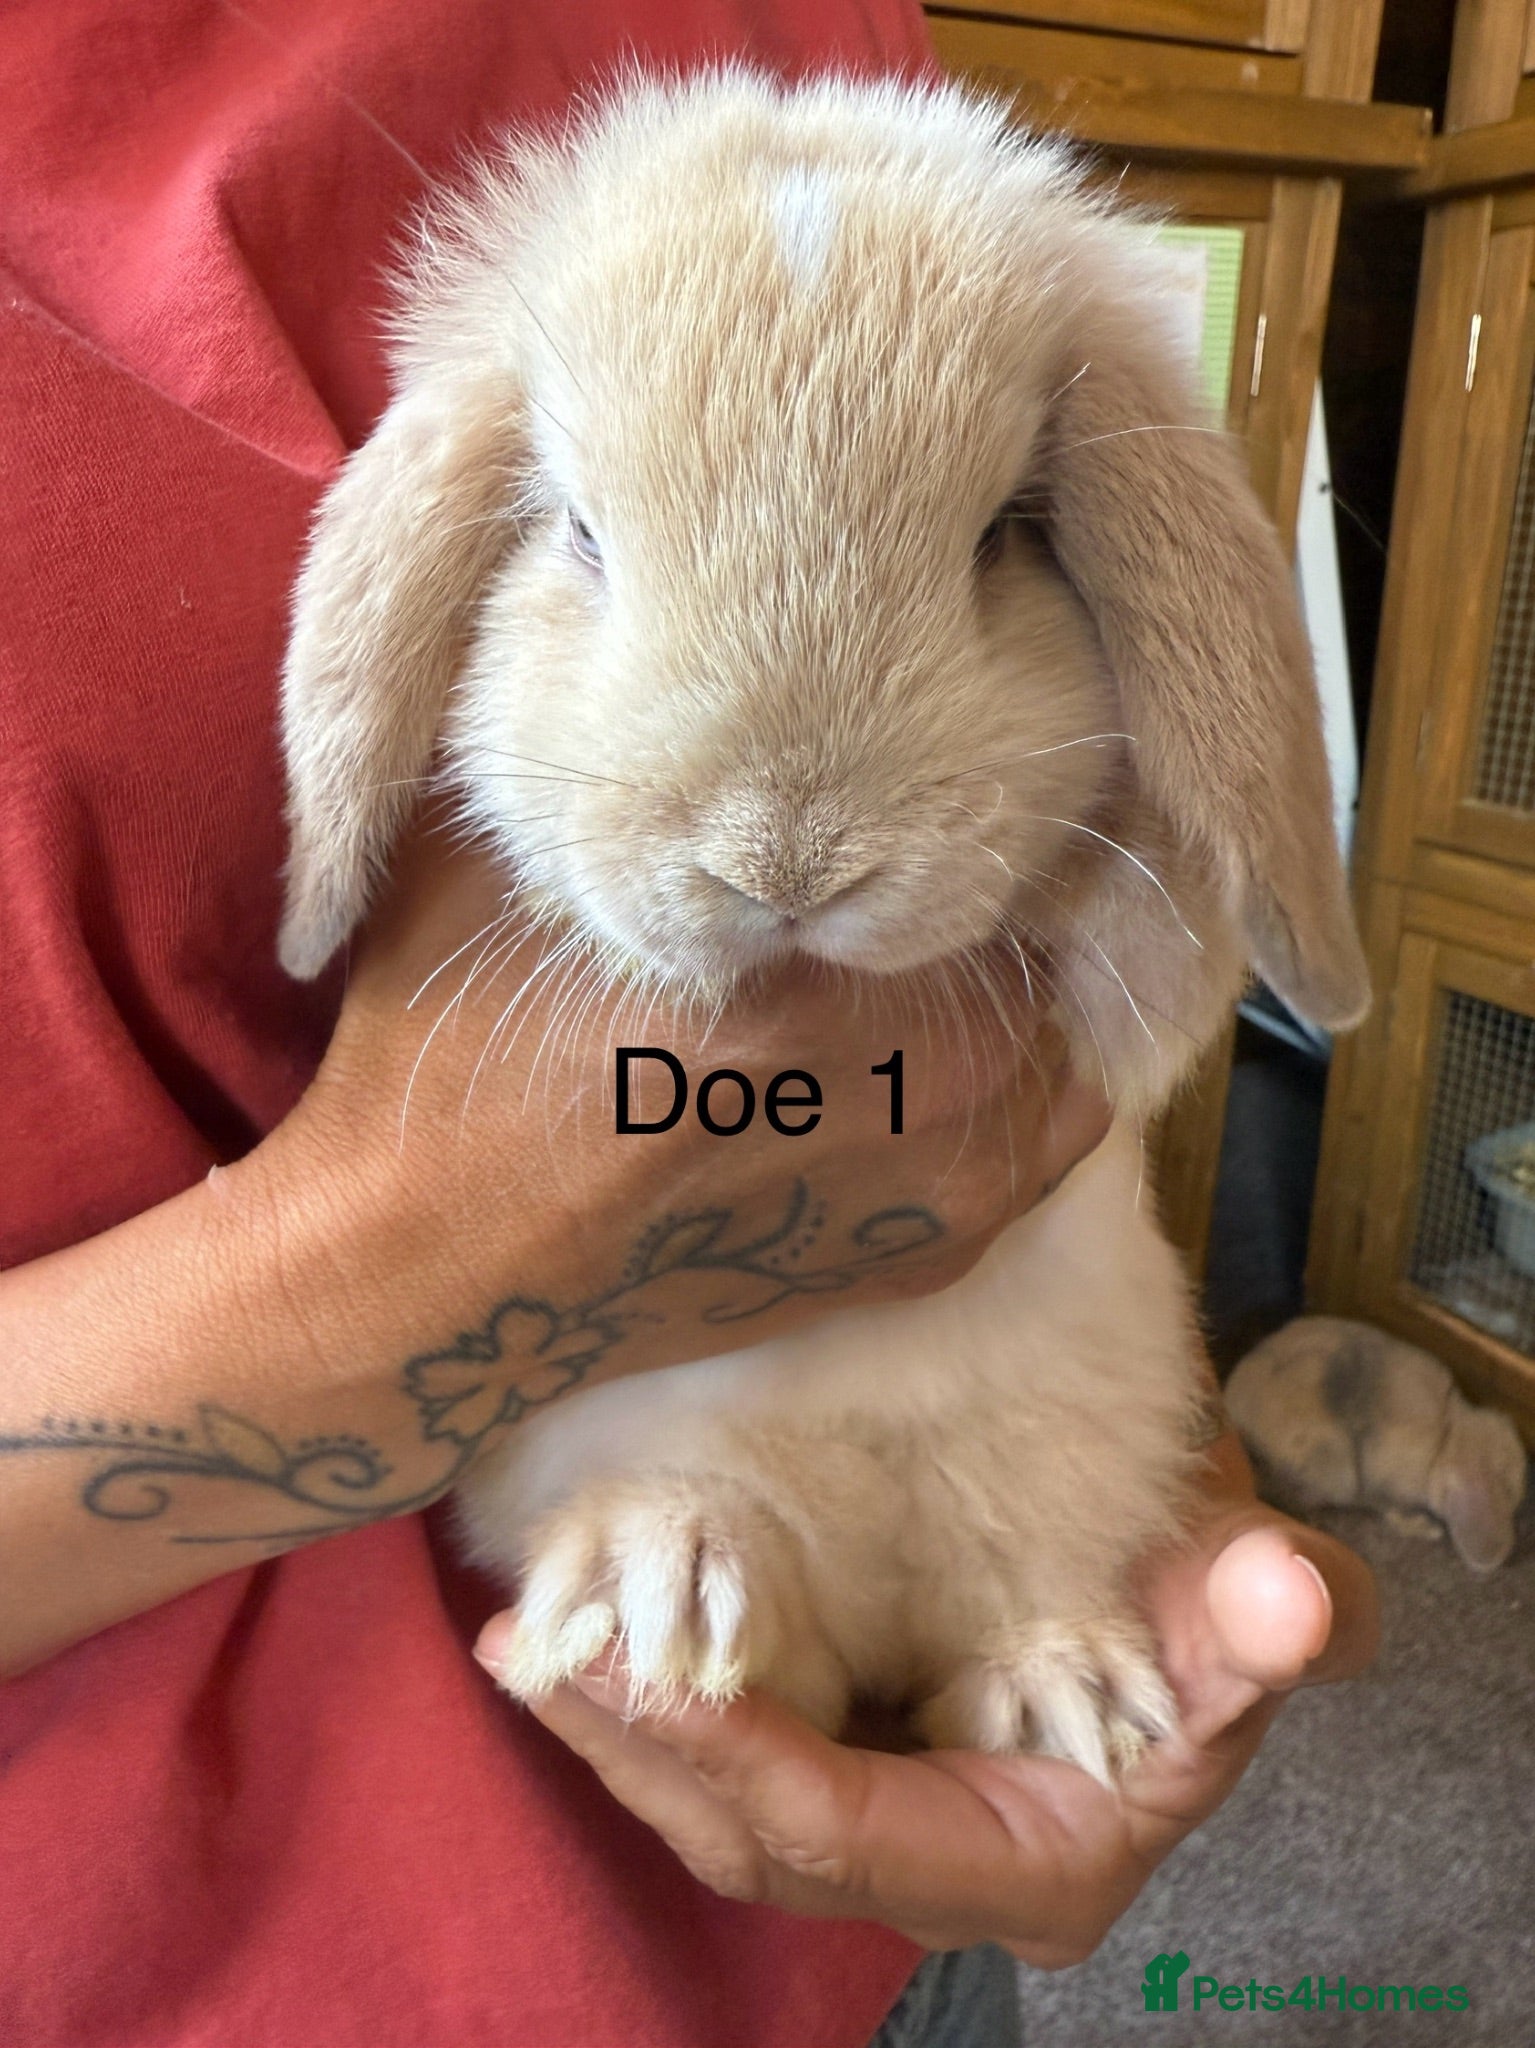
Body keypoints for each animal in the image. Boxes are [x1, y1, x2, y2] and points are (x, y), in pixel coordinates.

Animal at [275, 69, 1369, 1781]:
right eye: (578, 536)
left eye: (1002, 536)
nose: (781, 864)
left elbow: (1158, 969)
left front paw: (1096, 956)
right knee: (750, 1597)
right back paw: (660, 1592)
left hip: (1074, 1440)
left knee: (1011, 1581)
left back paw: (1066, 1697)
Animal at [1227, 1317, 1528, 1574]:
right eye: (1508, 1489)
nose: (1498, 1558)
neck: (1446, 1439)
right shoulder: (1384, 1480)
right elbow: (1389, 1508)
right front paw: (1425, 1529)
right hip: (1334, 1469)